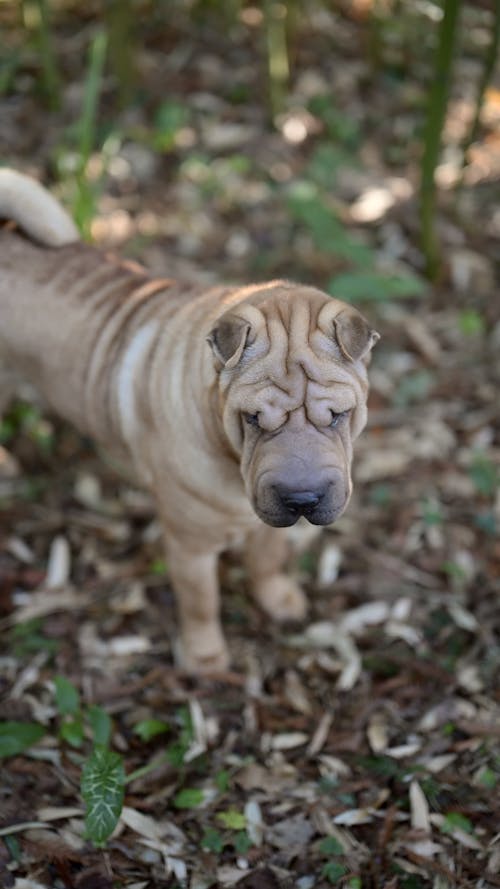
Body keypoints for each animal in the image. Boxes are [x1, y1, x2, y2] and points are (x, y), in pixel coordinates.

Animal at [0, 168, 376, 672]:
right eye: (253, 419)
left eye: (338, 416)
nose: (302, 498)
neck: (227, 452)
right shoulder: (189, 546)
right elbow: (201, 603)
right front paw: (205, 659)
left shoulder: (264, 524)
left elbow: (267, 561)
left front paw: (280, 601)